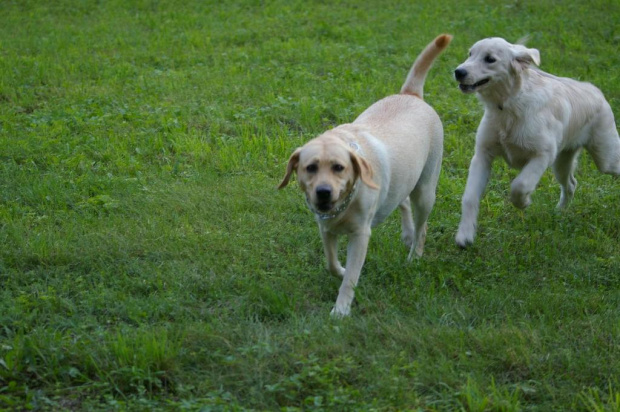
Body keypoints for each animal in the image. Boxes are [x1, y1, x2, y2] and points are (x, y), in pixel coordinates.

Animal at [280, 35, 450, 318]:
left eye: (339, 167)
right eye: (310, 167)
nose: (323, 192)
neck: (346, 202)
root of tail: (411, 94)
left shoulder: (360, 235)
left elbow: (351, 278)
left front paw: (341, 309)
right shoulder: (325, 228)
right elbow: (330, 263)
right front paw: (341, 270)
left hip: (426, 189)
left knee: (422, 226)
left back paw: (414, 255)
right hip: (402, 178)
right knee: (402, 201)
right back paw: (407, 233)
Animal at [452, 37, 616, 246]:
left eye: (490, 59)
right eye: (470, 54)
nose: (458, 72)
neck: (509, 106)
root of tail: (596, 91)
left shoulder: (543, 155)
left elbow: (520, 185)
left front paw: (523, 203)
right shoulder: (482, 155)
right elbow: (469, 197)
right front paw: (465, 234)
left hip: (606, 158)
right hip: (562, 162)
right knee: (571, 184)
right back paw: (560, 213)